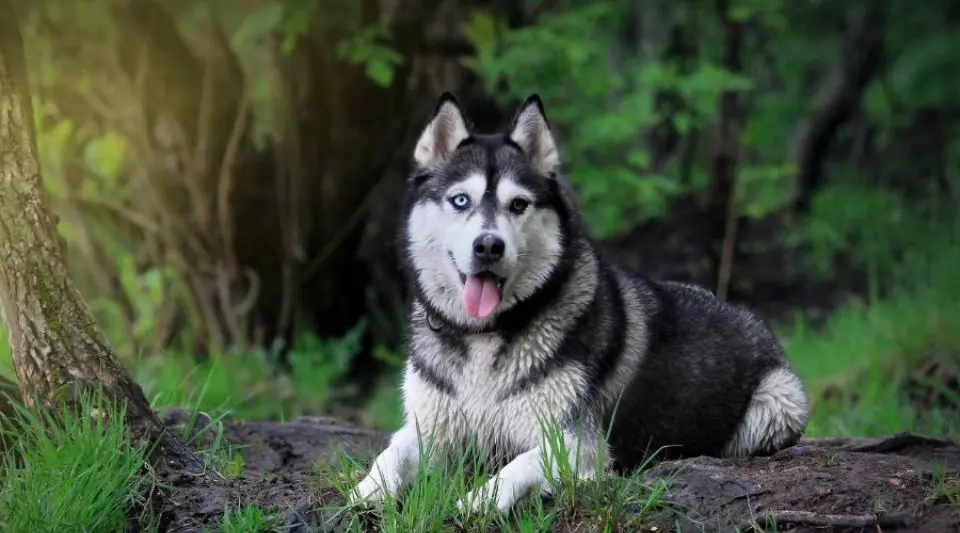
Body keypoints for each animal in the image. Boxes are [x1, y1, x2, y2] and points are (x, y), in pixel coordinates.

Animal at [348, 93, 808, 512]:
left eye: (519, 204)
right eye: (461, 200)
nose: (488, 246)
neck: (484, 336)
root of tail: (747, 314)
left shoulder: (576, 443)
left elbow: (518, 466)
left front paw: (478, 500)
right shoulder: (429, 429)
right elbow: (390, 454)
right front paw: (365, 491)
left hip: (778, 404)